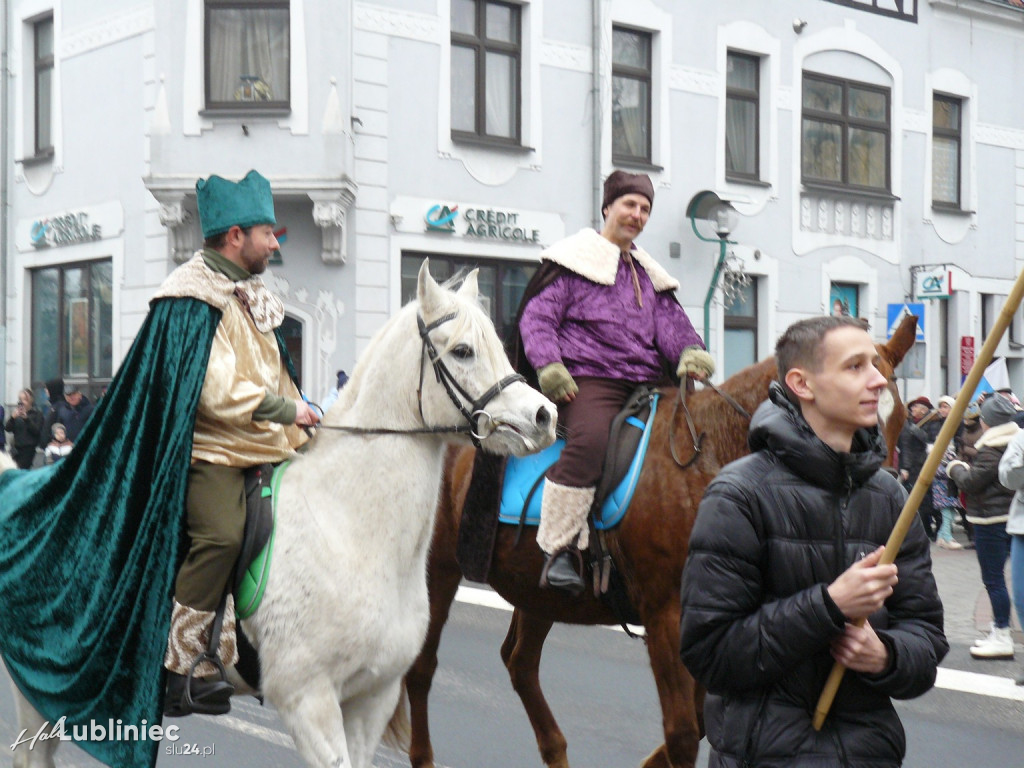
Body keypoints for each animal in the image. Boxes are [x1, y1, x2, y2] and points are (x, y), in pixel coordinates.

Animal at [8, 262, 557, 765]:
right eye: (463, 350)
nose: (544, 416)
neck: (350, 531)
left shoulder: (371, 697)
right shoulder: (306, 699)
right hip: (40, 690)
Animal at [403, 317, 917, 768]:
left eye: (898, 417)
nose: (893, 503)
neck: (709, 457)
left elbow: (704, 721)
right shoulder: (666, 617)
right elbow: (684, 733)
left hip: (536, 592)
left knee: (520, 664)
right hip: (438, 573)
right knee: (422, 668)